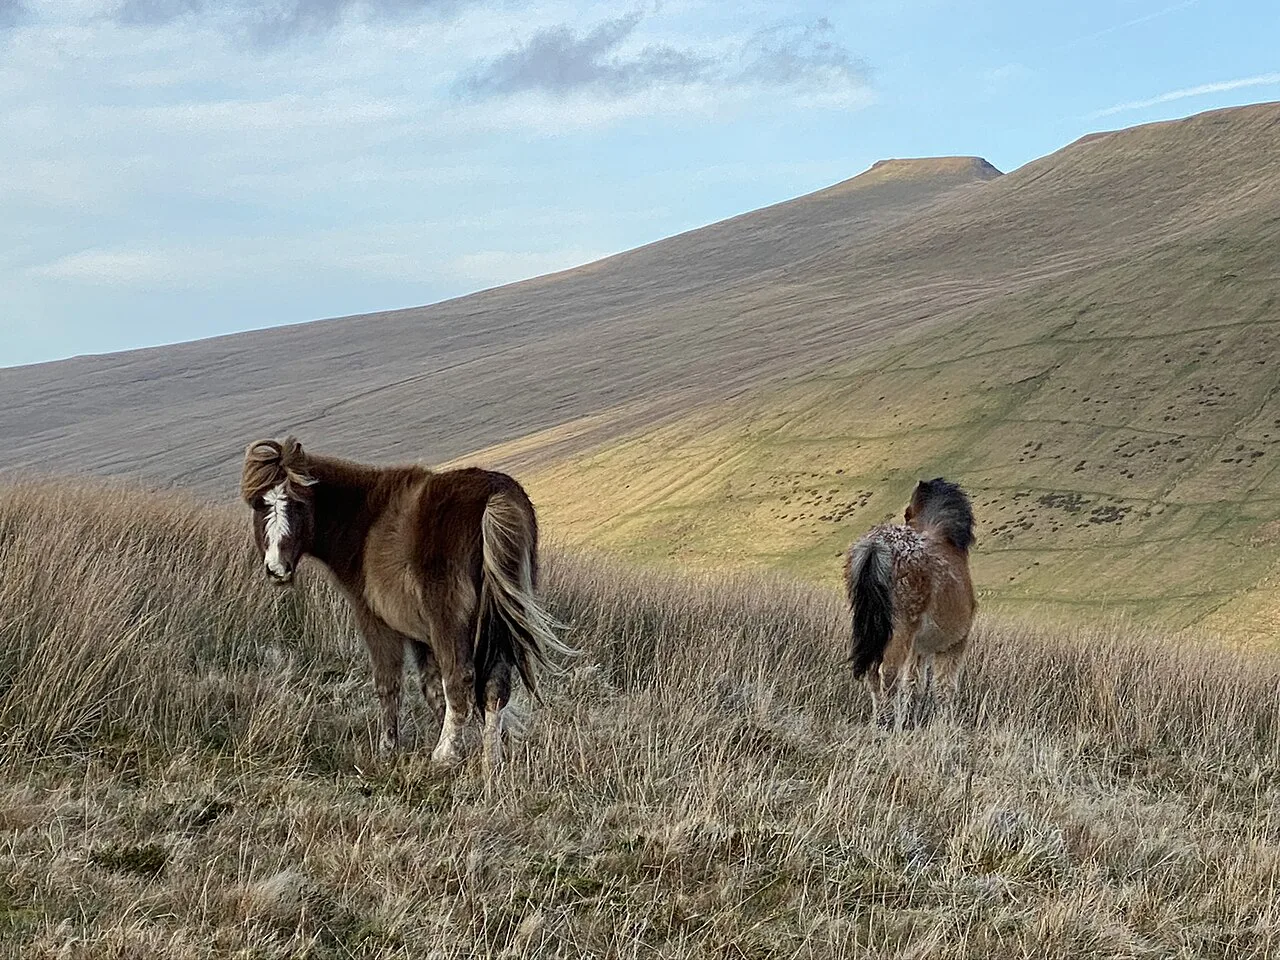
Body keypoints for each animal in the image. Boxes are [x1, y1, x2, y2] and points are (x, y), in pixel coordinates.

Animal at [240, 436, 573, 771]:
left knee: (460, 679)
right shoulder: (420, 635)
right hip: (497, 624)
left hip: (450, 621)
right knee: (495, 687)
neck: (364, 521)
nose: (276, 569)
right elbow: (432, 688)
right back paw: (491, 761)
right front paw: (462, 744)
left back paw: (443, 756)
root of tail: (492, 497)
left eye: (298, 504)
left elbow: (389, 683)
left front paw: (389, 749)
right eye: (259, 505)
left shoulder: (375, 621)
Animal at [843, 478, 976, 729]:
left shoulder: (918, 649)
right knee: (888, 674)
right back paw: (888, 723)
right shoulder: (953, 645)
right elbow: (944, 688)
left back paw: (880, 720)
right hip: (901, 629)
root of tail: (876, 546)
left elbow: (914, 685)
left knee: (874, 673)